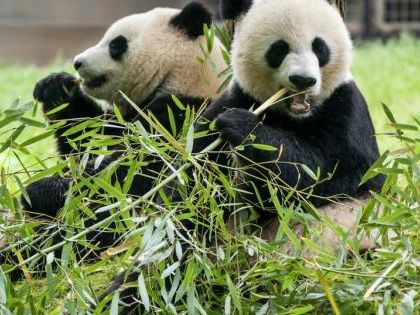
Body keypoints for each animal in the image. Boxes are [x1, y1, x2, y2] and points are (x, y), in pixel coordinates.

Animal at [0, 1, 226, 278]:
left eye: (116, 44)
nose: (77, 63)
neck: (183, 76)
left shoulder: (182, 118)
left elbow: (128, 176)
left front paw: (39, 191)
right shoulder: (124, 118)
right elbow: (86, 141)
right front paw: (56, 87)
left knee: (82, 235)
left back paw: (20, 258)